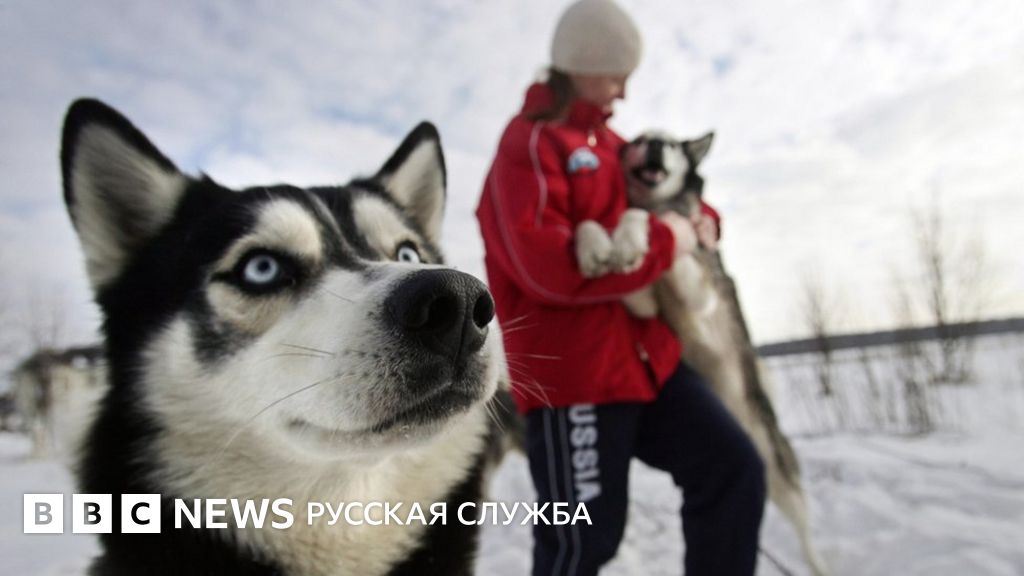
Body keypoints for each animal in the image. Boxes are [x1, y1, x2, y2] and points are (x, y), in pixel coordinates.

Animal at [575, 130, 828, 576]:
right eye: (640, 140)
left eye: (672, 145)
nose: (655, 147)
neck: (660, 202)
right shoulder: (642, 303)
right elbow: (614, 233)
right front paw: (598, 246)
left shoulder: (698, 290)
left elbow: (654, 226)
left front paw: (634, 235)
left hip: (783, 477)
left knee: (807, 536)